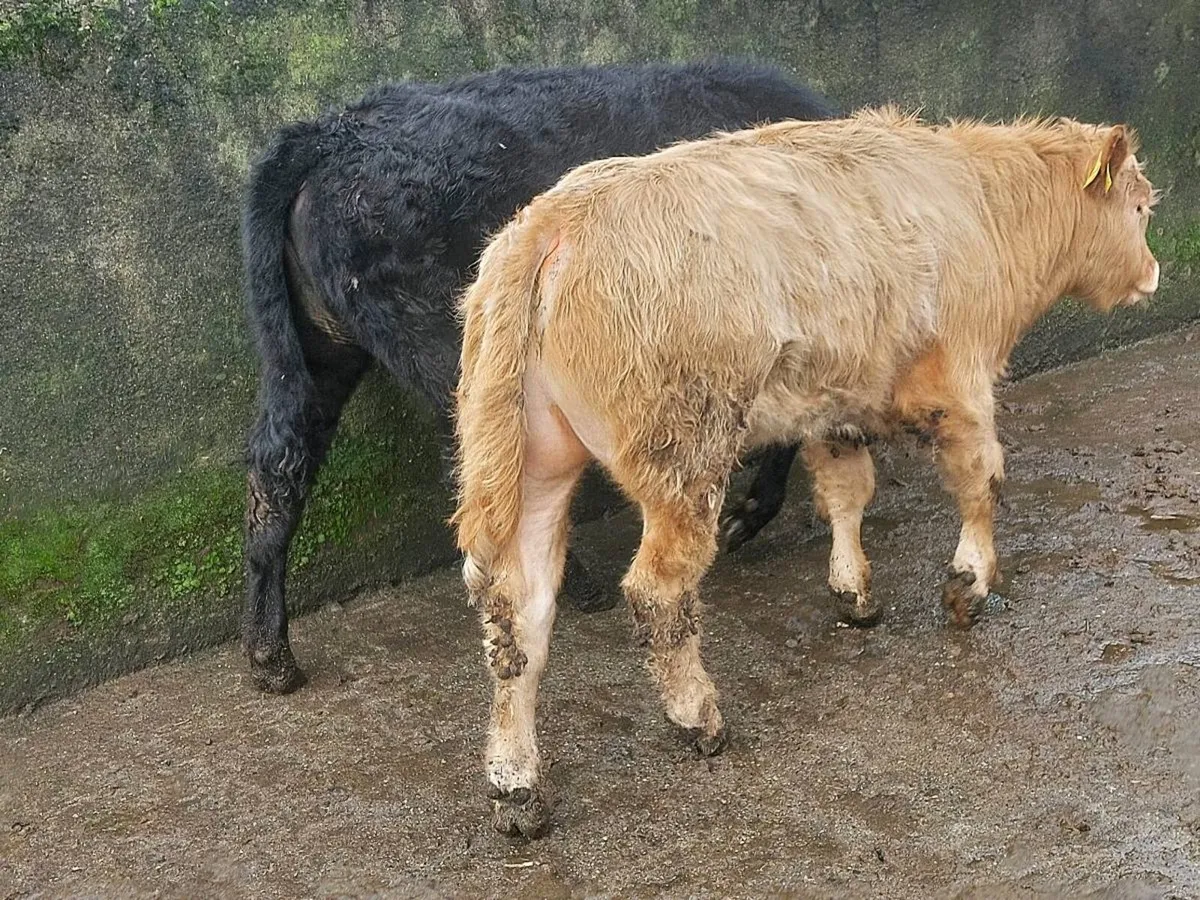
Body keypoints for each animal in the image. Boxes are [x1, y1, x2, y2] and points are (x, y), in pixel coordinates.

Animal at [241, 60, 838, 694]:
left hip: (315, 353)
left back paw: (269, 655)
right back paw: (577, 583)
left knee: (277, 468)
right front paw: (746, 514)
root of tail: (327, 135)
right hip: (450, 345)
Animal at [452, 108, 1160, 837]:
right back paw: (698, 717)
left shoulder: (836, 400)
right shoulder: (957, 380)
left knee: (519, 610)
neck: (979, 201)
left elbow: (848, 490)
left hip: (533, 459)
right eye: (1141, 208)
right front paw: (970, 583)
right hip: (685, 455)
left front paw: (853, 590)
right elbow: (979, 478)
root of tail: (554, 220)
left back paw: (516, 784)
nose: (1154, 273)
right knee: (657, 591)